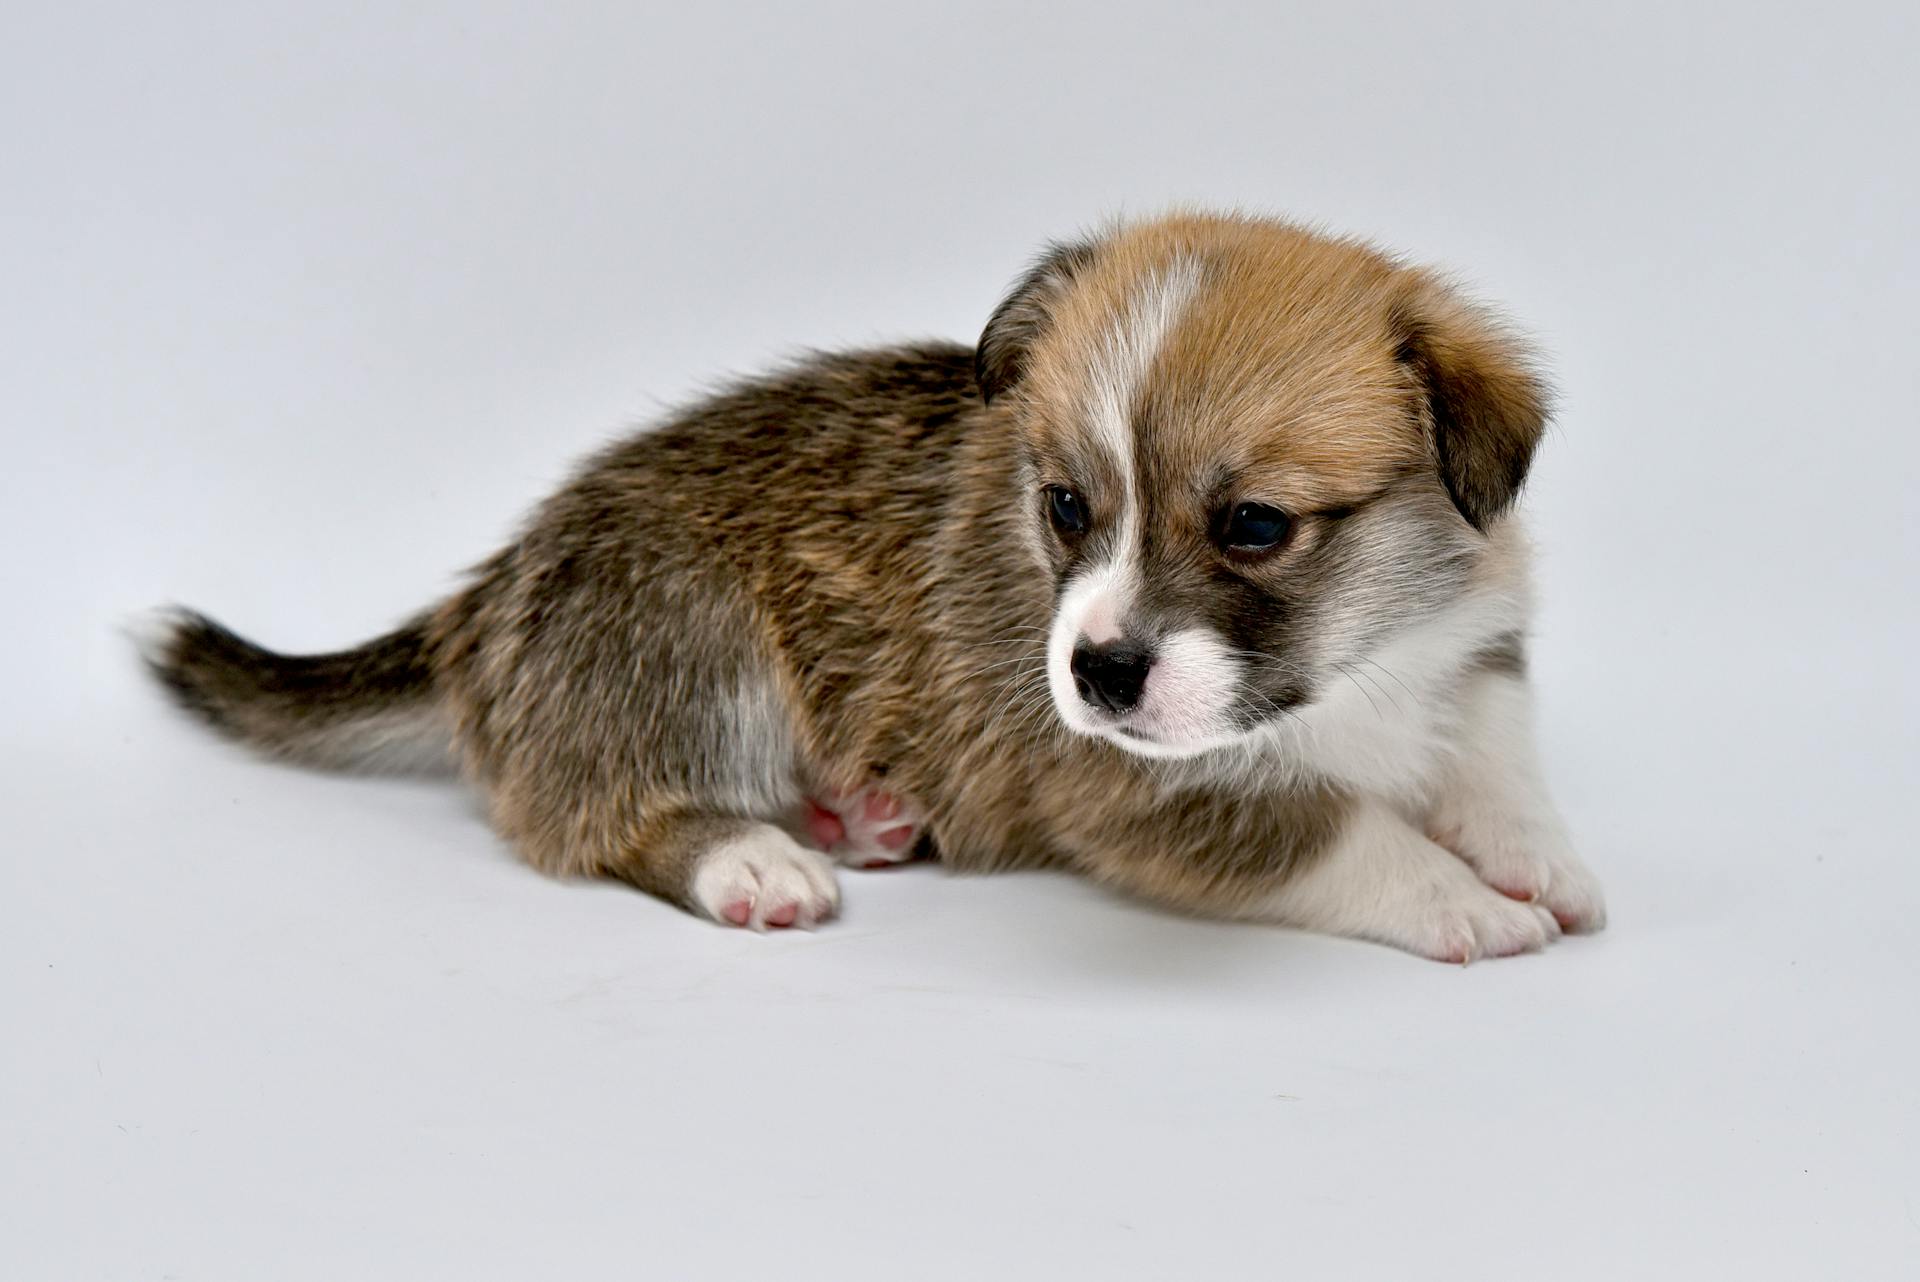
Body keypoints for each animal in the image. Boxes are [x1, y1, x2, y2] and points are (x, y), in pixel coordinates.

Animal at [142, 208, 1605, 959]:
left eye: (1253, 524)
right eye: (1066, 507)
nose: (1096, 673)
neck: (1354, 667)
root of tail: (482, 600)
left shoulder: (1477, 650)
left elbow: (1495, 754)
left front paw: (1538, 854)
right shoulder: (1149, 790)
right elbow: (1349, 832)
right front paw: (1467, 900)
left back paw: (858, 816)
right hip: (687, 634)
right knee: (599, 816)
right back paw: (754, 859)